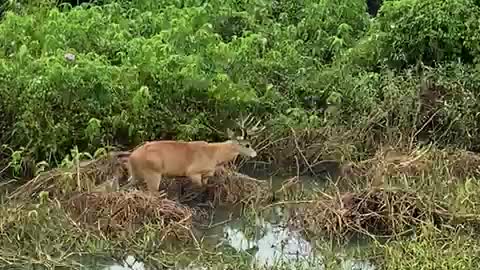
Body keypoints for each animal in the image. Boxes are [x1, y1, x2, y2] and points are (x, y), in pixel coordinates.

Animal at [122, 115, 266, 193]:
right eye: (247, 145)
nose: (255, 154)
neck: (215, 154)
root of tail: (131, 157)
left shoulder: (207, 174)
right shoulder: (192, 172)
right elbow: (201, 187)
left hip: (135, 175)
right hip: (153, 173)